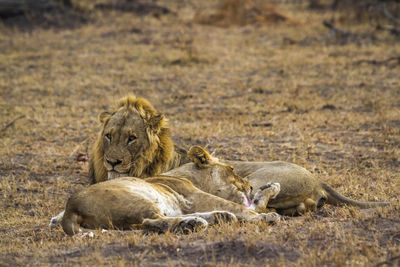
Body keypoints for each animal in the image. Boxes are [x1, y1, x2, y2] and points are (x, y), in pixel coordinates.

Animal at [62, 147, 282, 237]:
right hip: (137, 199)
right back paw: (194, 224)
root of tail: (69, 210)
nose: (249, 186)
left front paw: (271, 187)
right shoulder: (196, 197)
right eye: (233, 170)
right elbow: (245, 208)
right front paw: (267, 216)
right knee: (150, 222)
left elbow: (252, 204)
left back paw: (216, 218)